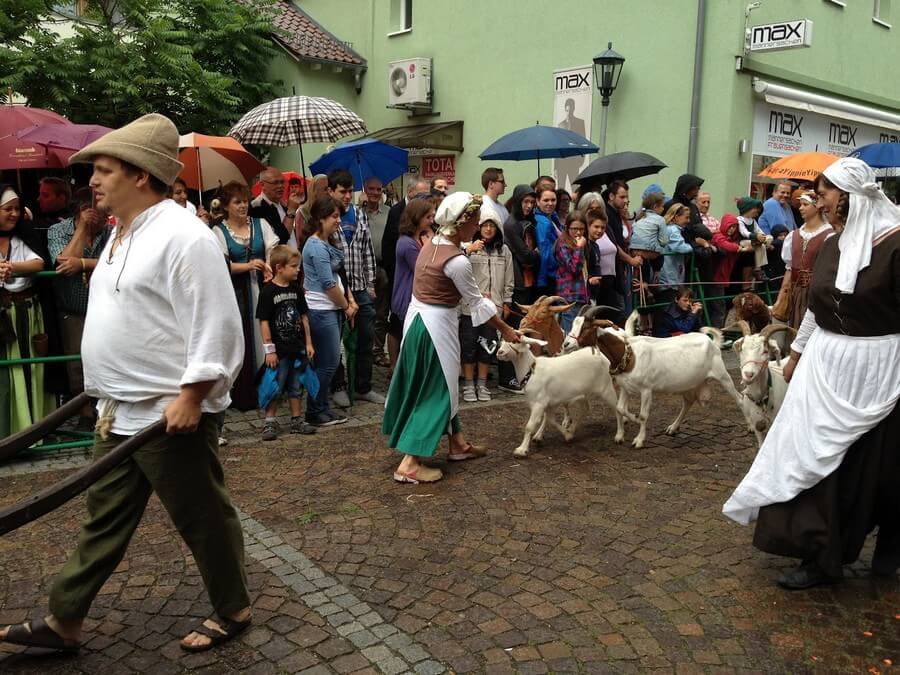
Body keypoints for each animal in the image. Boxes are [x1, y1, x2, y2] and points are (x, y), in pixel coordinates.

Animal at [496, 338, 624, 460]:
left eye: (515, 341)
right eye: (503, 341)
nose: (499, 352)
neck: (531, 372)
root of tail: (601, 355)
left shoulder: (539, 403)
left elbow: (530, 426)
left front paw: (521, 450)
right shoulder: (549, 403)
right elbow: (550, 419)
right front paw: (567, 435)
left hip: (606, 388)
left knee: (617, 409)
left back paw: (619, 436)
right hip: (582, 393)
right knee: (585, 409)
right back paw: (571, 429)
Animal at [576, 312, 752, 448]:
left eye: (585, 328)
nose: (572, 342)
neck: (629, 355)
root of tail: (712, 342)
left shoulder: (646, 389)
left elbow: (643, 415)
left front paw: (638, 440)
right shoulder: (625, 387)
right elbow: (620, 408)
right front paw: (621, 434)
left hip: (722, 375)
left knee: (739, 398)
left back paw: (750, 426)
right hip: (688, 383)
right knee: (688, 401)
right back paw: (673, 428)